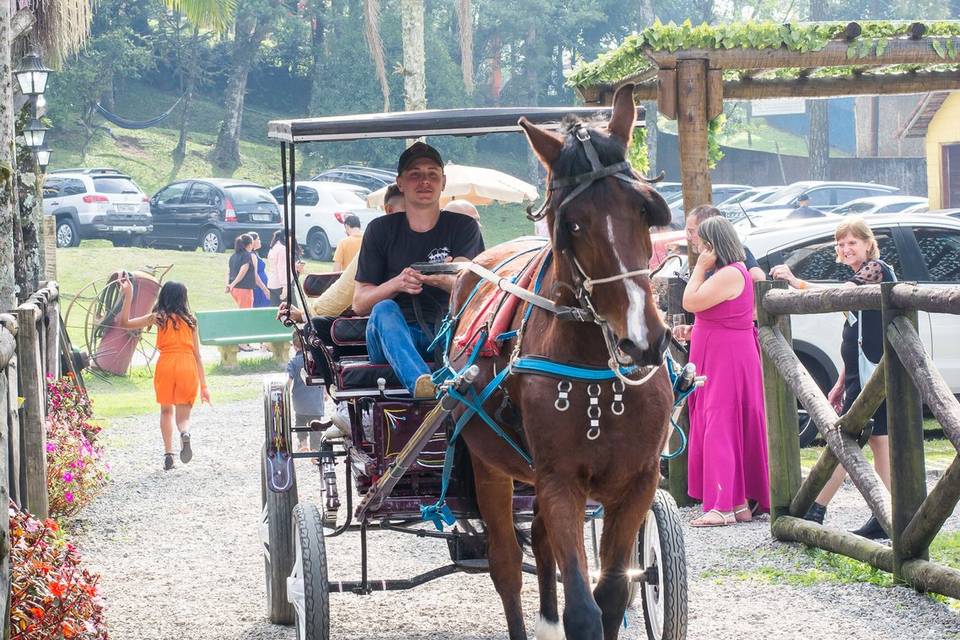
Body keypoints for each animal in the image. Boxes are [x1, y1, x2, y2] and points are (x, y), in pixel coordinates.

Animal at [450, 82, 676, 636]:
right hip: (492, 467)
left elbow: (613, 593)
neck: (599, 374)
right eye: (572, 224)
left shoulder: (639, 481)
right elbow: (583, 609)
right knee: (507, 567)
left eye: (644, 211)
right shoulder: (559, 482)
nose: (642, 340)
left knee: (543, 544)